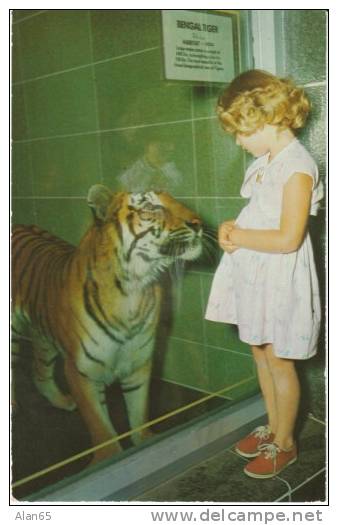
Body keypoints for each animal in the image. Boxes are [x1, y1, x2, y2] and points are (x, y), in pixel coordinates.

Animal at [11, 184, 203, 462]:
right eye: (151, 207)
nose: (198, 224)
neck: (134, 290)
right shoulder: (81, 371)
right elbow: (101, 427)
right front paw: (108, 458)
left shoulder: (138, 362)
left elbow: (138, 412)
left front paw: (146, 442)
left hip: (45, 337)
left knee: (39, 371)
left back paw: (62, 401)